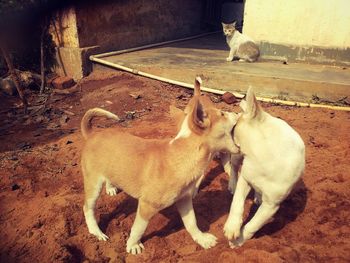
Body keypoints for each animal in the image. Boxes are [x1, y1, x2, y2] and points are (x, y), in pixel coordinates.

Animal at [80, 77, 239, 255]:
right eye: (223, 114)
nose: (238, 113)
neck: (181, 155)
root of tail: (92, 135)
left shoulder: (184, 200)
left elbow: (191, 223)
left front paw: (202, 239)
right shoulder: (146, 206)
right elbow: (138, 229)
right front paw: (133, 245)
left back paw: (111, 188)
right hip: (93, 184)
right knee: (87, 208)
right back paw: (96, 232)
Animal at [224, 88, 304, 248]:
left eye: (234, 128)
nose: (229, 130)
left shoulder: (271, 206)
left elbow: (253, 225)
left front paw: (239, 240)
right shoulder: (245, 179)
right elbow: (236, 204)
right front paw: (232, 227)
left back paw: (257, 197)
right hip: (237, 156)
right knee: (234, 167)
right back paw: (232, 184)